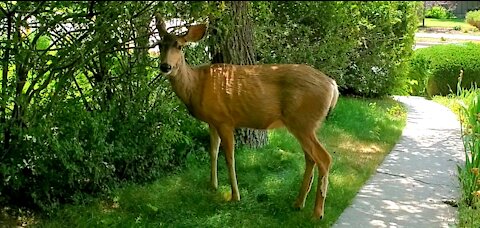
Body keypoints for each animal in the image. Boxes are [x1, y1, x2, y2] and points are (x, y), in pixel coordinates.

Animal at [156, 14, 340, 221]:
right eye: (159, 44)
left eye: (180, 46)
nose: (165, 66)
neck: (196, 86)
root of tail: (333, 87)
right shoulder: (212, 121)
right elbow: (213, 152)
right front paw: (213, 185)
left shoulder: (225, 120)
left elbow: (229, 158)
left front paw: (235, 196)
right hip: (304, 125)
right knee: (310, 158)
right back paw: (298, 203)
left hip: (303, 121)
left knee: (324, 158)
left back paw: (317, 213)